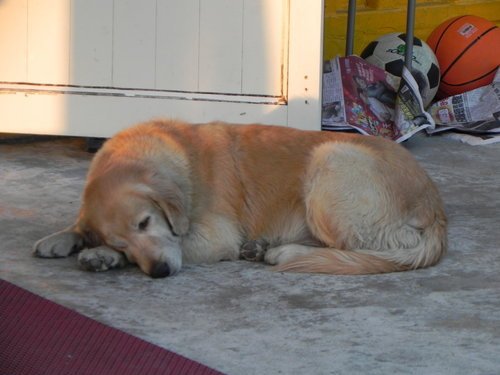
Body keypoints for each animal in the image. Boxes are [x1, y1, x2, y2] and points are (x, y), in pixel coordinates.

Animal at [36, 119, 450, 278]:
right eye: (122, 239)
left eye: (145, 222)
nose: (160, 272)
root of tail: (436, 205)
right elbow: (79, 224)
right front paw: (63, 238)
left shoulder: (215, 237)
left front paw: (100, 255)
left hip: (330, 161)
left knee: (368, 250)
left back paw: (282, 252)